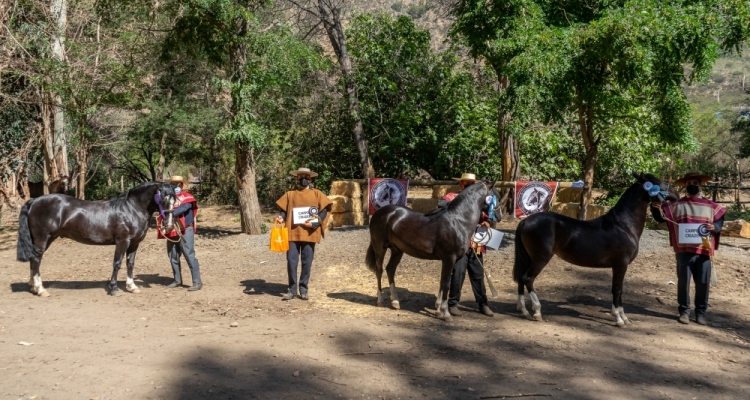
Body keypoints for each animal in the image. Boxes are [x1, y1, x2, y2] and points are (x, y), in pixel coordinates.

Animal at [18, 181, 178, 296]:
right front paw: (114, 289)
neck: (131, 209)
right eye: (162, 199)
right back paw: (40, 289)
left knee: (34, 259)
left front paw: (132, 286)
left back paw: (33, 286)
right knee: (36, 259)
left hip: (48, 239)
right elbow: (117, 264)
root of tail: (34, 201)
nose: (169, 225)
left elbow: (130, 264)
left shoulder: (134, 243)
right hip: (42, 238)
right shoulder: (122, 241)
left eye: (174, 200)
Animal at [368, 180, 502, 320]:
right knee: (379, 270)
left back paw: (395, 301)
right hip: (380, 248)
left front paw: (438, 310)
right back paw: (380, 300)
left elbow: (442, 282)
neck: (458, 220)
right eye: (497, 196)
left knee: (390, 269)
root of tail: (380, 212)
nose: (499, 216)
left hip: (397, 250)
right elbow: (446, 283)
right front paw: (446, 313)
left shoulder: (447, 260)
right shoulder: (449, 258)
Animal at [512, 173, 680, 326]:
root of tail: (526, 221)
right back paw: (537, 311)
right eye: (659, 182)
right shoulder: (620, 264)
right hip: (540, 258)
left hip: (528, 257)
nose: (677, 194)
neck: (624, 225)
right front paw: (619, 319)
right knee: (528, 278)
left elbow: (619, 290)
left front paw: (624, 317)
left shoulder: (620, 266)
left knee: (521, 278)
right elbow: (617, 289)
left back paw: (523, 310)